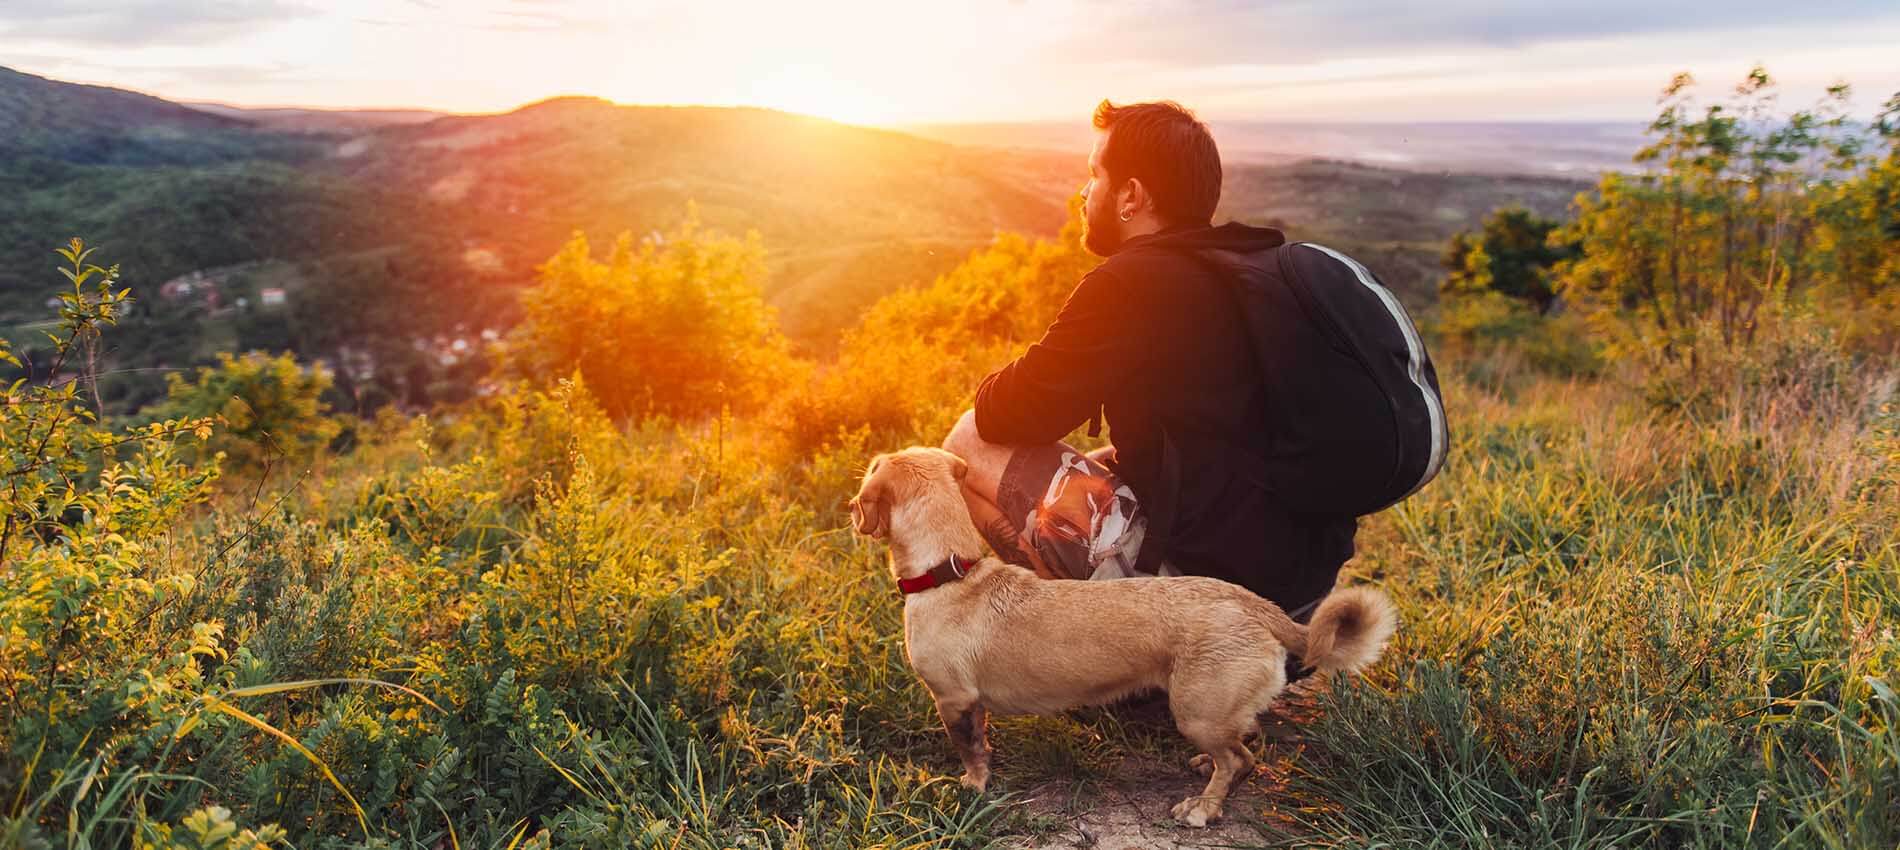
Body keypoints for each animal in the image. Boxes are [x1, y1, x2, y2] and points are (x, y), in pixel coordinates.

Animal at [851, 444, 1398, 825]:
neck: (951, 572)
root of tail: (1255, 604)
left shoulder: (953, 700)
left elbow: (970, 752)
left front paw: (972, 787)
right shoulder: (971, 705)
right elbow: (983, 743)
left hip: (1194, 710)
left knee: (1238, 759)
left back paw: (1203, 808)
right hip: (1213, 710)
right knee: (1242, 745)